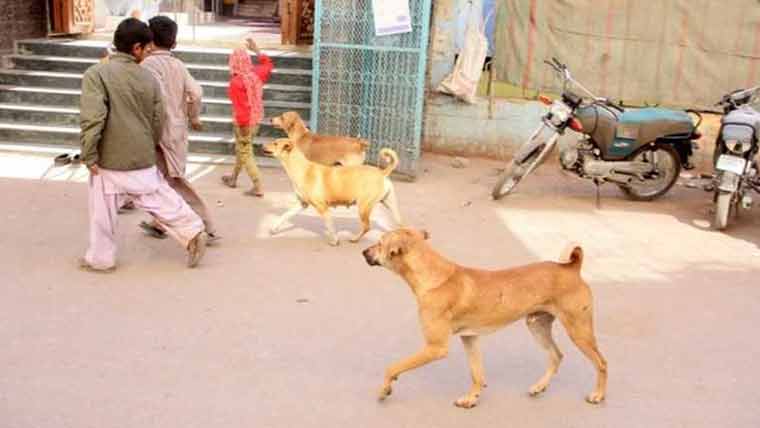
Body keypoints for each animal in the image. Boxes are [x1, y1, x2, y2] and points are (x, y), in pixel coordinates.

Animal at [262, 139, 404, 246]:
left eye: (275, 143)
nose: (262, 145)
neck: (303, 169)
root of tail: (382, 172)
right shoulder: (301, 204)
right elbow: (284, 216)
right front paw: (273, 229)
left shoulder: (322, 207)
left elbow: (330, 225)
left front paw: (335, 240)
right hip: (390, 204)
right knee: (400, 224)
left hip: (363, 207)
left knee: (367, 226)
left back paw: (354, 239)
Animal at [364, 229, 612, 410]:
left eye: (380, 243)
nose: (364, 252)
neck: (435, 277)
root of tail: (572, 268)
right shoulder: (470, 339)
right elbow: (477, 374)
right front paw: (471, 398)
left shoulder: (435, 347)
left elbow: (392, 367)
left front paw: (384, 390)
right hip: (537, 326)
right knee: (556, 356)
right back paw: (539, 387)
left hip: (579, 331)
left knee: (601, 363)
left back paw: (598, 395)